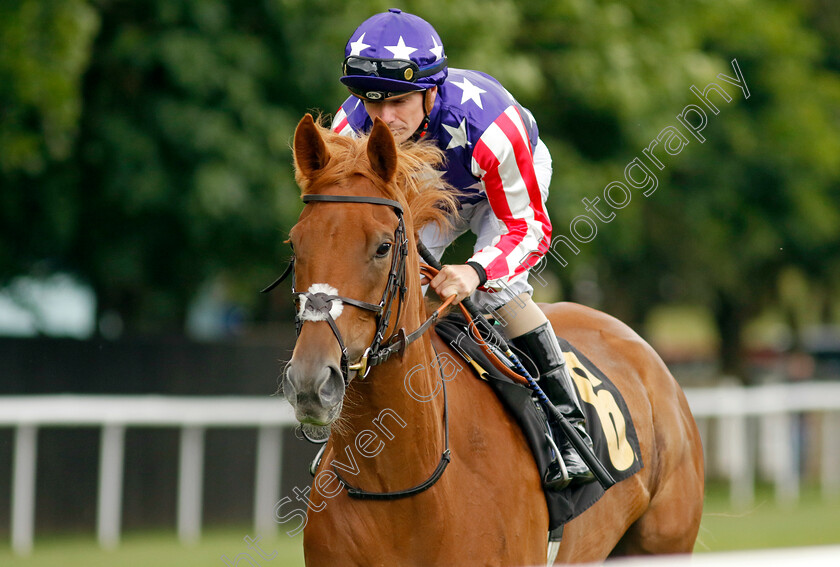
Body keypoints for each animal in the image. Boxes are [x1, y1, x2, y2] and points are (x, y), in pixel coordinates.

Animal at [280, 115, 704, 567]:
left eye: (383, 246)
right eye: (295, 243)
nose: (310, 383)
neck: (398, 485)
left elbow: (525, 227)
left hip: (664, 542)